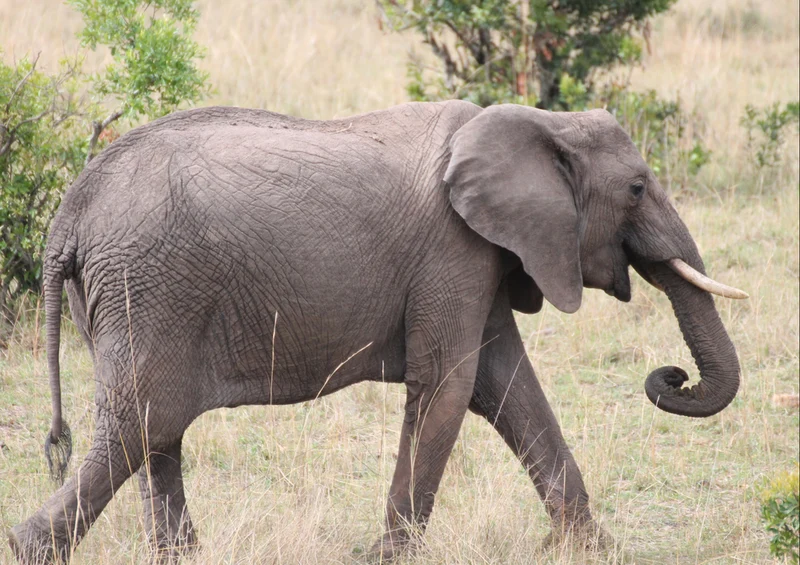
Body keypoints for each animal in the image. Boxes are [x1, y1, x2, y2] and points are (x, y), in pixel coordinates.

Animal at [8, 101, 747, 563]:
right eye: (637, 189)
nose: (672, 375)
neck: (537, 121)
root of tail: (69, 212)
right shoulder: (454, 249)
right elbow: (449, 387)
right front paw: (388, 556)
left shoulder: (480, 255)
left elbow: (507, 385)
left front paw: (594, 550)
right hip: (148, 286)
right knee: (140, 422)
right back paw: (30, 550)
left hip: (135, 292)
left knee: (154, 432)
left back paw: (182, 556)